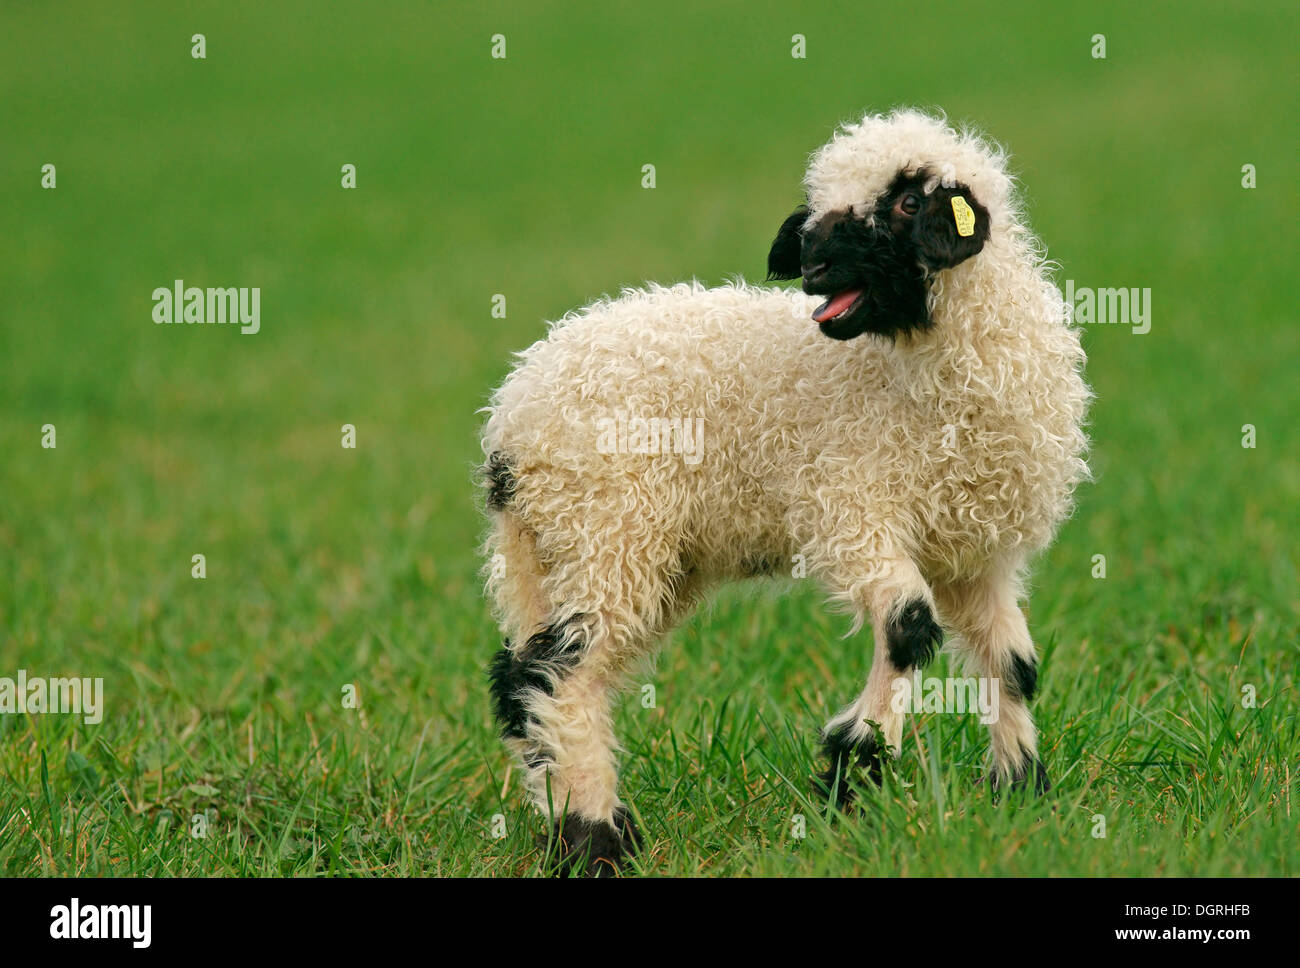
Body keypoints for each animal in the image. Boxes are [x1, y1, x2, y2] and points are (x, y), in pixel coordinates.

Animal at [478, 107, 1086, 878]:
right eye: (818, 200)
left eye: (906, 202)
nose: (814, 264)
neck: (918, 371)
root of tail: (511, 417)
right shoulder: (850, 509)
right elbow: (910, 627)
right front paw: (852, 769)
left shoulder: (978, 554)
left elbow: (1016, 666)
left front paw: (1020, 793)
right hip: (609, 527)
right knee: (561, 674)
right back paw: (599, 841)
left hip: (568, 547)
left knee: (521, 675)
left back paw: (568, 825)